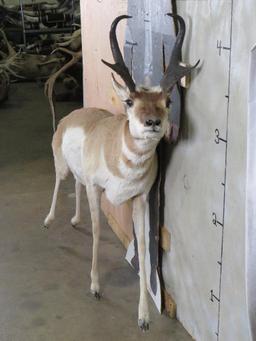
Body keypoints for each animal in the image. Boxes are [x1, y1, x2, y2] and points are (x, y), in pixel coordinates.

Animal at [44, 13, 199, 330]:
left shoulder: (139, 198)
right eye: (129, 101)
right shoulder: (97, 189)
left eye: (167, 102)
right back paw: (49, 220)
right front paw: (95, 287)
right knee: (58, 183)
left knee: (75, 186)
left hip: (80, 175)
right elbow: (97, 231)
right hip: (62, 166)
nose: (153, 122)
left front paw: (144, 316)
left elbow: (143, 247)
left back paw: (74, 219)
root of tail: (73, 115)